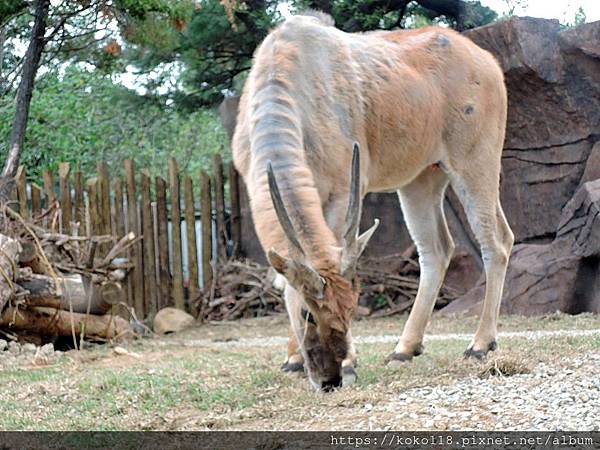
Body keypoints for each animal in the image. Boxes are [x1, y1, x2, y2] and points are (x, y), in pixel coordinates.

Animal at [232, 12, 512, 388]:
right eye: (308, 313)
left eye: (352, 308)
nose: (332, 378)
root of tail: (486, 61)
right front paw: (292, 359)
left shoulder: (340, 192)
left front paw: (349, 362)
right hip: (421, 180)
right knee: (438, 249)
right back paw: (404, 348)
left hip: (475, 165)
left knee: (495, 242)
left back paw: (480, 343)